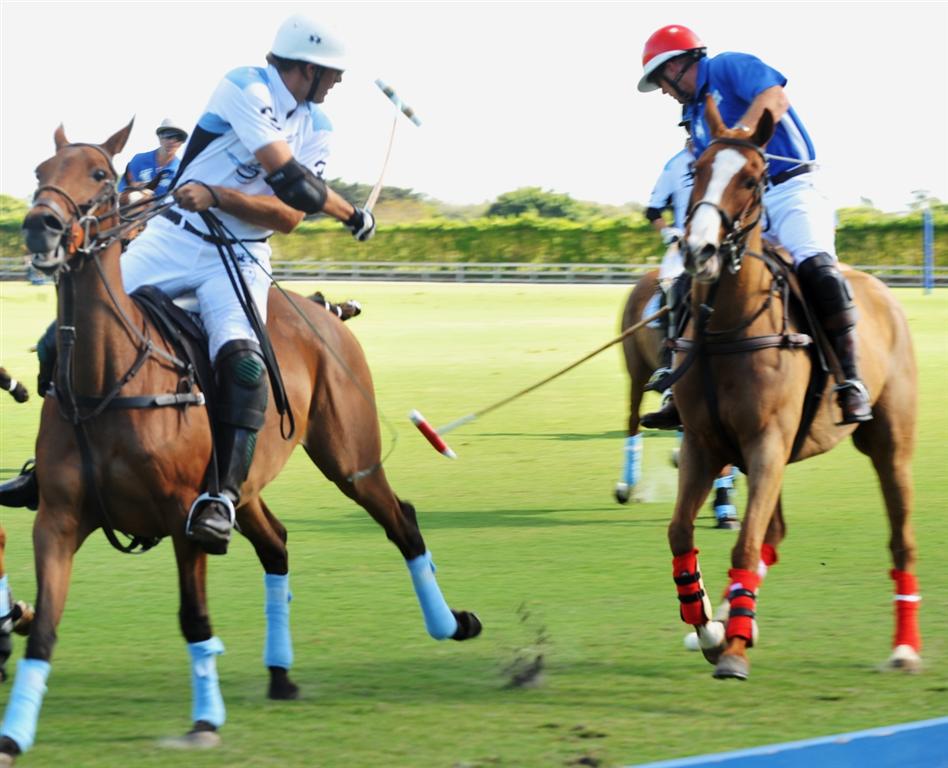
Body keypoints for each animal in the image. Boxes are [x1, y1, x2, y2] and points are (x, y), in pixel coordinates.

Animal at [0, 123, 481, 763]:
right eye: (39, 171)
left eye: (100, 174)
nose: (41, 225)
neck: (107, 380)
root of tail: (322, 309)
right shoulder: (56, 519)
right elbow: (46, 629)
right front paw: (12, 735)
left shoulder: (182, 518)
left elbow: (195, 619)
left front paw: (205, 719)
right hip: (242, 487)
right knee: (275, 543)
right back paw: (280, 673)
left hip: (349, 457)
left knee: (398, 518)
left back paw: (450, 624)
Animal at [666, 96, 920, 680]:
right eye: (697, 170)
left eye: (753, 178)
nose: (700, 252)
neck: (725, 328)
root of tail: (883, 292)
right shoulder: (705, 444)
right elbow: (681, 532)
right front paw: (711, 628)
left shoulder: (766, 442)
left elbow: (743, 544)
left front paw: (732, 652)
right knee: (774, 535)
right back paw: (737, 618)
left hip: (888, 446)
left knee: (901, 541)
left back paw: (904, 649)